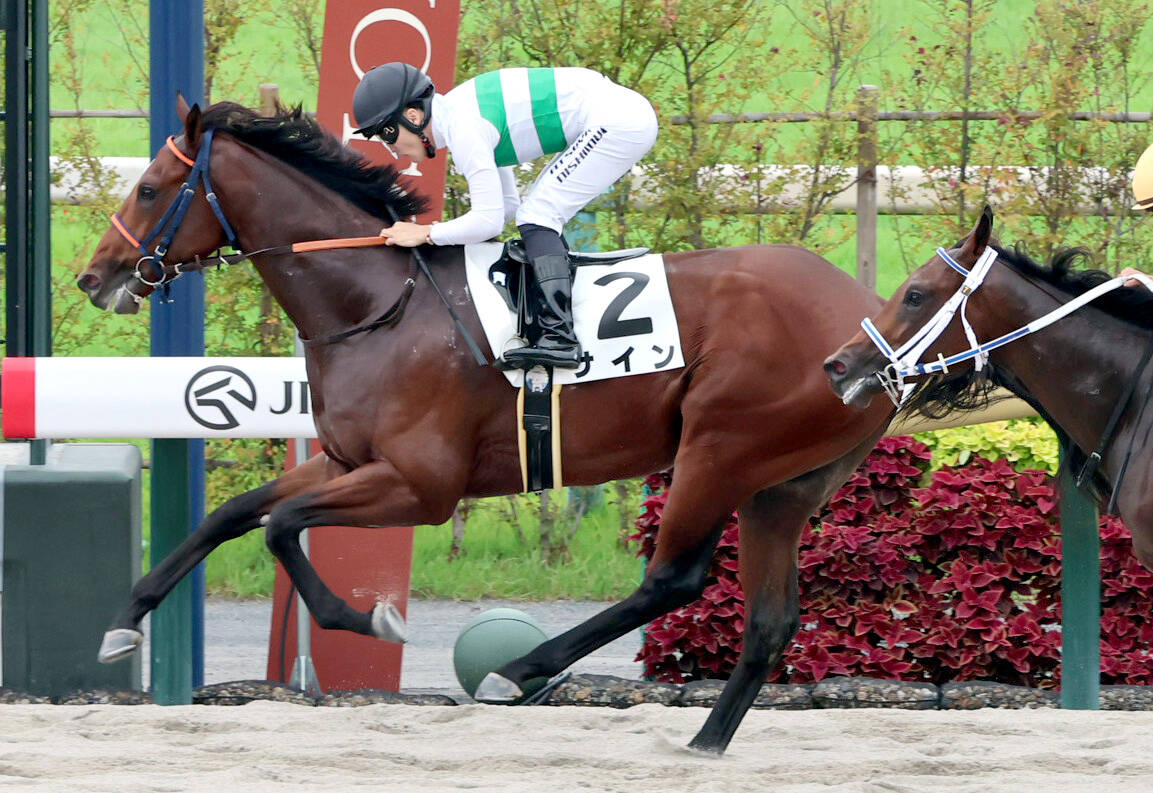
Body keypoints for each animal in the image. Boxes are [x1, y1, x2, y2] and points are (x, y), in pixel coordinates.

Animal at [77, 98, 893, 754]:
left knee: (673, 578)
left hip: (720, 448)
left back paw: (515, 671)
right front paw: (124, 620)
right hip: (781, 485)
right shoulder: (346, 460)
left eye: (149, 188)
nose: (94, 276)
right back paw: (703, 743)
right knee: (769, 621)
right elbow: (233, 513)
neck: (377, 302)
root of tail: (874, 318)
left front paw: (369, 619)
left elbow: (280, 525)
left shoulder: (421, 485)